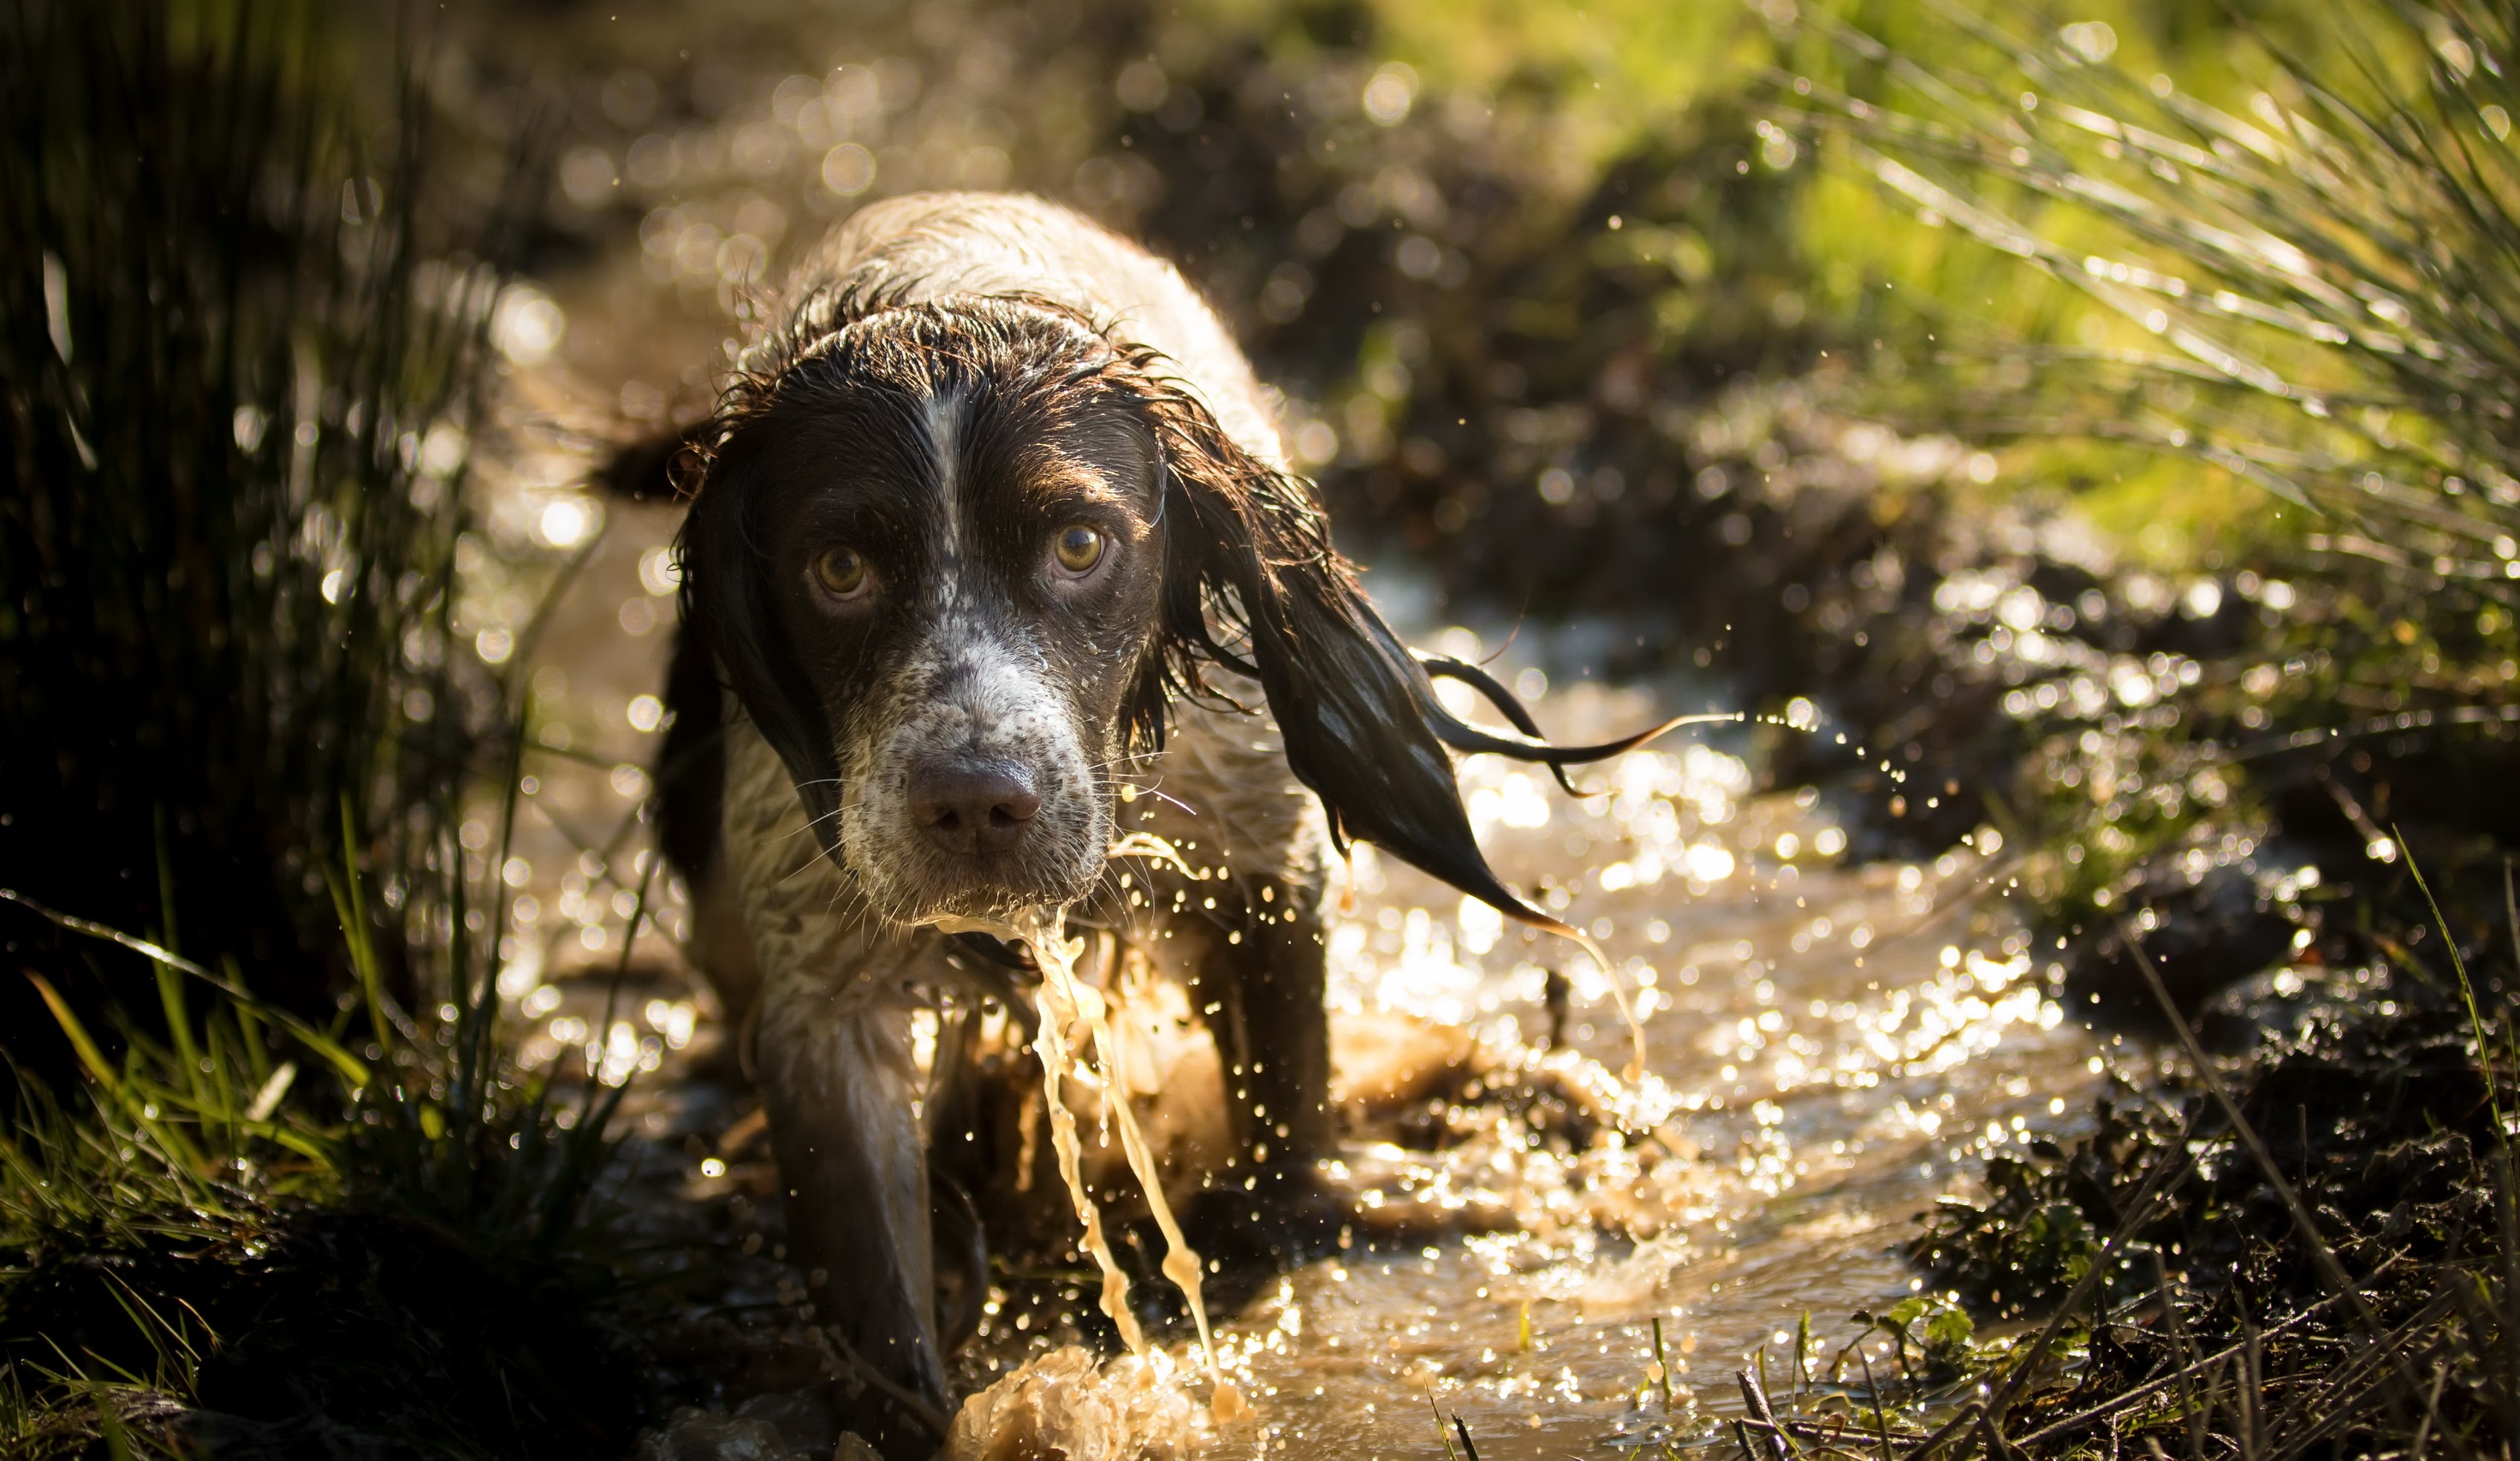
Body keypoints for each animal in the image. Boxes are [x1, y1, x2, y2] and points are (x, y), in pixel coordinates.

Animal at [639, 193, 1643, 1451]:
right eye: (839, 568)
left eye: (1079, 544)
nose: (973, 800)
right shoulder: (823, 995)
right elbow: (879, 1300)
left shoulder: (1261, 866)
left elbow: (1285, 1133)